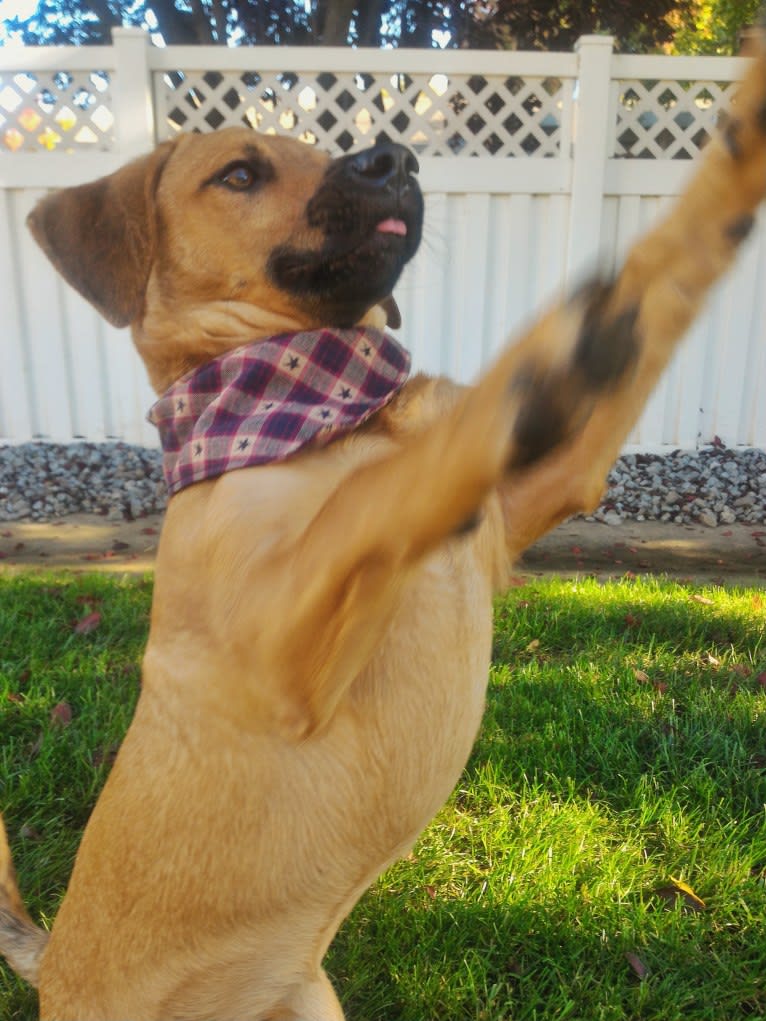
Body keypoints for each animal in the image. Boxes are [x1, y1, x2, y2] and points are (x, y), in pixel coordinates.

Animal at [4, 35, 766, 1016]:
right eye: (240, 173)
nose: (396, 160)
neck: (323, 410)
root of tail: (51, 965)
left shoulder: (549, 480)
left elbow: (666, 269)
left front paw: (740, 143)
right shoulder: (281, 652)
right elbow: (386, 489)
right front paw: (527, 369)